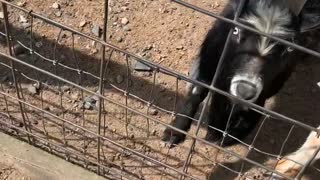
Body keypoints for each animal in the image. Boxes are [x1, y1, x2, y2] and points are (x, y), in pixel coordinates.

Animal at [162, 0, 320, 146]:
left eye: (288, 49)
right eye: (236, 31)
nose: (245, 90)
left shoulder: (270, 86)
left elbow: (255, 110)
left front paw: (226, 136)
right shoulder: (210, 61)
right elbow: (200, 91)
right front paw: (175, 132)